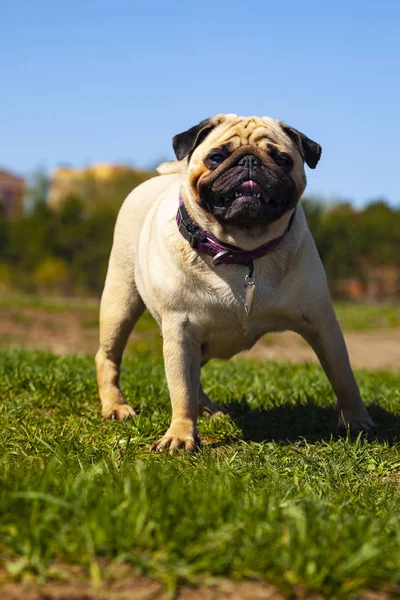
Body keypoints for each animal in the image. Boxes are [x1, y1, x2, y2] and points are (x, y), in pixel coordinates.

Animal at [96, 112, 376, 452]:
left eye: (282, 159)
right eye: (216, 157)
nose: (249, 161)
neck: (241, 253)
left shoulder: (322, 324)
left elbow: (344, 378)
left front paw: (357, 421)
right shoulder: (179, 331)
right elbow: (180, 389)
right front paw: (180, 435)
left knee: (195, 379)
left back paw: (207, 409)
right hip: (120, 303)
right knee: (108, 357)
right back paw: (115, 406)